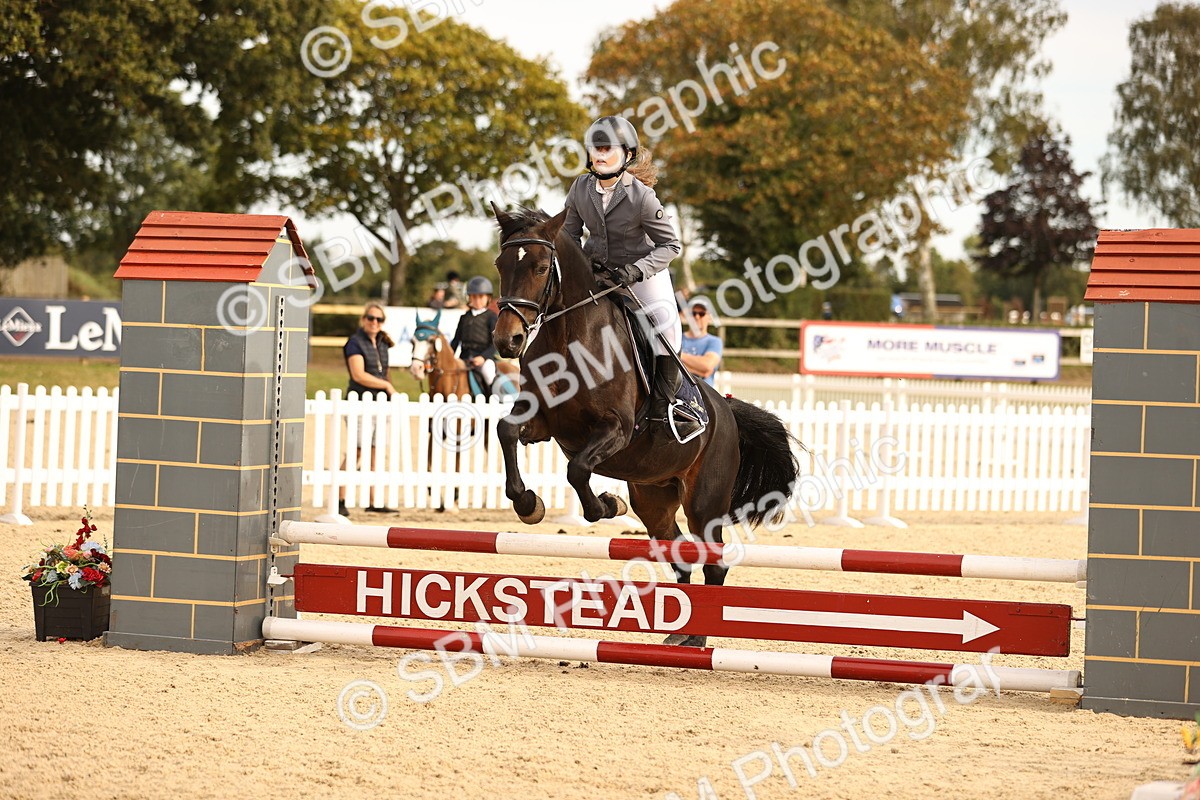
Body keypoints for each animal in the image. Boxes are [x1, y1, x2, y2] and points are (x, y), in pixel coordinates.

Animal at [490, 205, 801, 648]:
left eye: (540, 266)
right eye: (501, 264)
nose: (508, 341)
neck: (570, 338)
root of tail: (725, 412)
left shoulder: (616, 430)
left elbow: (577, 469)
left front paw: (605, 505)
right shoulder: (541, 423)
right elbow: (506, 431)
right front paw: (528, 504)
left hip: (704, 504)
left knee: (713, 561)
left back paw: (698, 639)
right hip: (654, 498)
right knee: (681, 553)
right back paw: (680, 634)